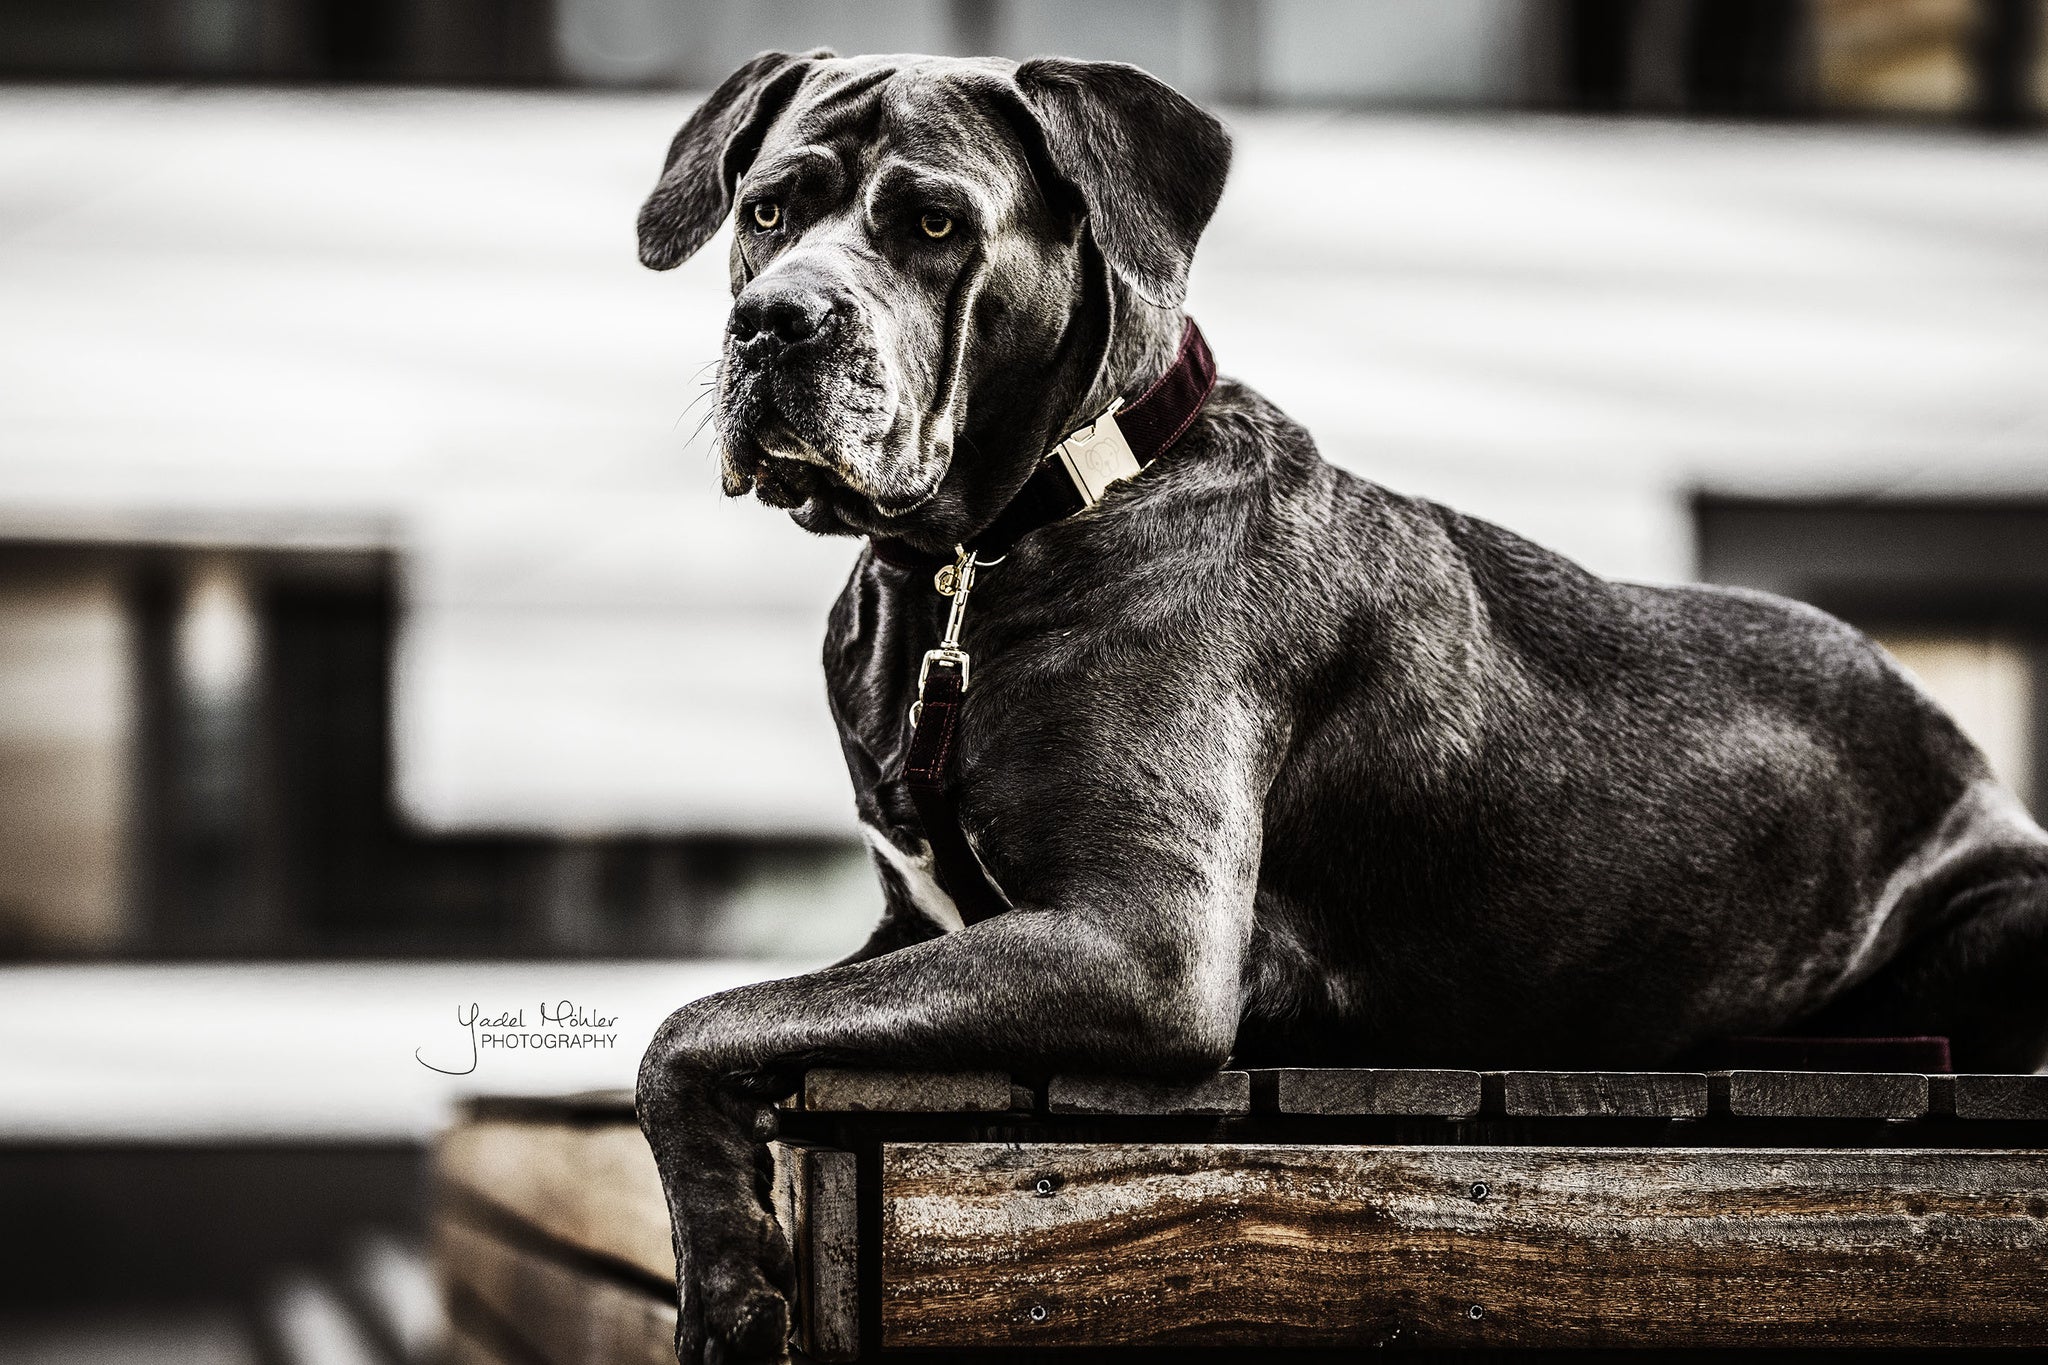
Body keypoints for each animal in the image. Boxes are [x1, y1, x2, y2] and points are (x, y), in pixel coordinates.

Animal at [634, 48, 2048, 1358]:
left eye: (933, 225)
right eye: (767, 209)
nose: (773, 321)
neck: (966, 567)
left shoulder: (1139, 944)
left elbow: (691, 1024)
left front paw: (732, 1288)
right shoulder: (911, 926)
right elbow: (739, 1013)